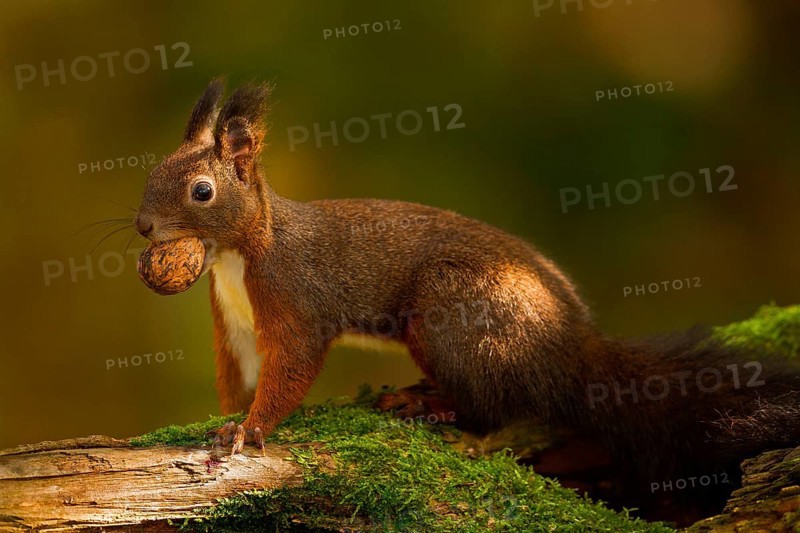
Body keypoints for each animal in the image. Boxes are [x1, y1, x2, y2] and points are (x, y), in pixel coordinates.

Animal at [135, 78, 800, 491]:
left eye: (201, 191)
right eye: (150, 172)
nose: (142, 227)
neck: (237, 256)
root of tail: (569, 344)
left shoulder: (295, 297)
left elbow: (292, 366)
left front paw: (248, 431)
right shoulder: (234, 322)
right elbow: (241, 374)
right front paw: (228, 417)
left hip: (454, 311)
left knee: (492, 408)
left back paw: (433, 406)